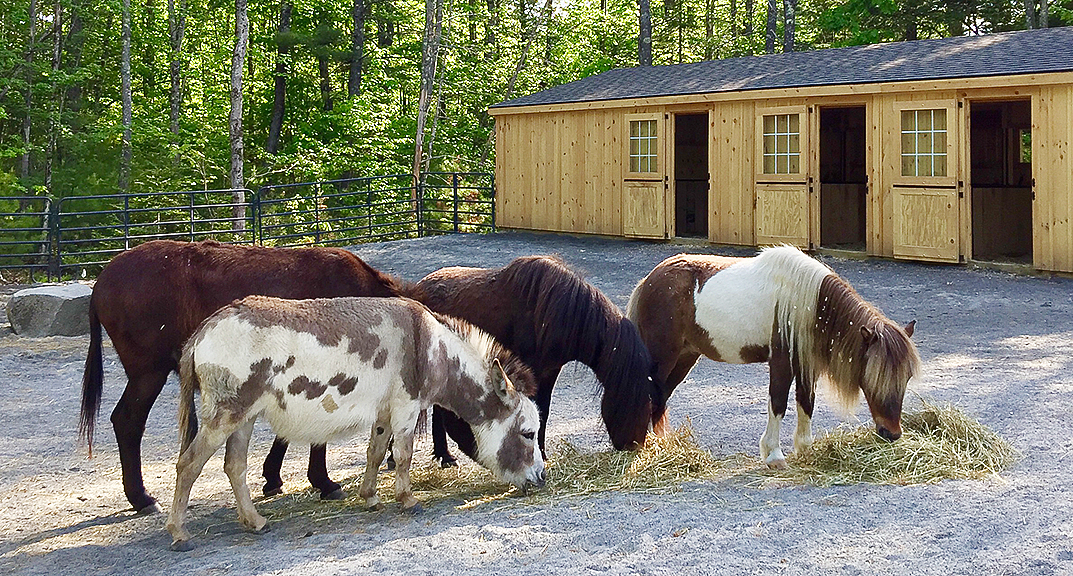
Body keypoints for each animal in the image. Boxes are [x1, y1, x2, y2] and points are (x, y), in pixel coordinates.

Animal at [79, 239, 409, 512]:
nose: (395, 459)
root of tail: (101, 282)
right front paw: (323, 482)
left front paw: (274, 477)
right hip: (148, 372)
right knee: (127, 421)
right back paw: (141, 498)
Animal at [166, 293, 545, 549]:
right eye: (528, 434)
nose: (541, 479)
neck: (433, 349)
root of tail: (201, 332)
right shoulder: (406, 406)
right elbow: (403, 455)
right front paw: (408, 500)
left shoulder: (384, 412)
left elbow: (375, 452)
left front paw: (371, 497)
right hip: (225, 414)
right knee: (188, 464)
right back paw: (180, 533)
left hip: (243, 417)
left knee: (234, 466)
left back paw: (255, 521)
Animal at [626, 245, 922, 467]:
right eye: (873, 375)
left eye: (907, 377)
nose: (891, 434)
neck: (810, 304)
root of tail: (650, 280)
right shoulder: (782, 363)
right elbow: (778, 403)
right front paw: (774, 456)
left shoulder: (806, 366)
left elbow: (805, 403)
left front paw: (805, 448)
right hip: (664, 357)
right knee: (652, 395)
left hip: (685, 357)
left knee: (661, 397)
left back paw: (663, 444)